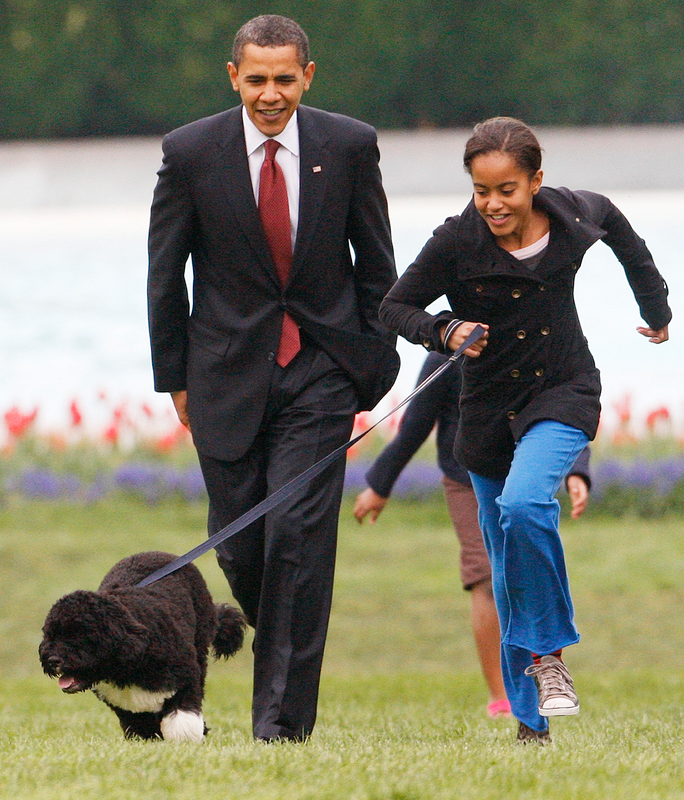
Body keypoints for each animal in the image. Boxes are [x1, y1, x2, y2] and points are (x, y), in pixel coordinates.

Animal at [38, 552, 246, 744]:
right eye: (51, 634)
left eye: (80, 634)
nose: (53, 660)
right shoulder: (126, 705)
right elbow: (140, 721)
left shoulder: (185, 676)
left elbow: (182, 715)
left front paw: (184, 739)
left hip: (200, 641)